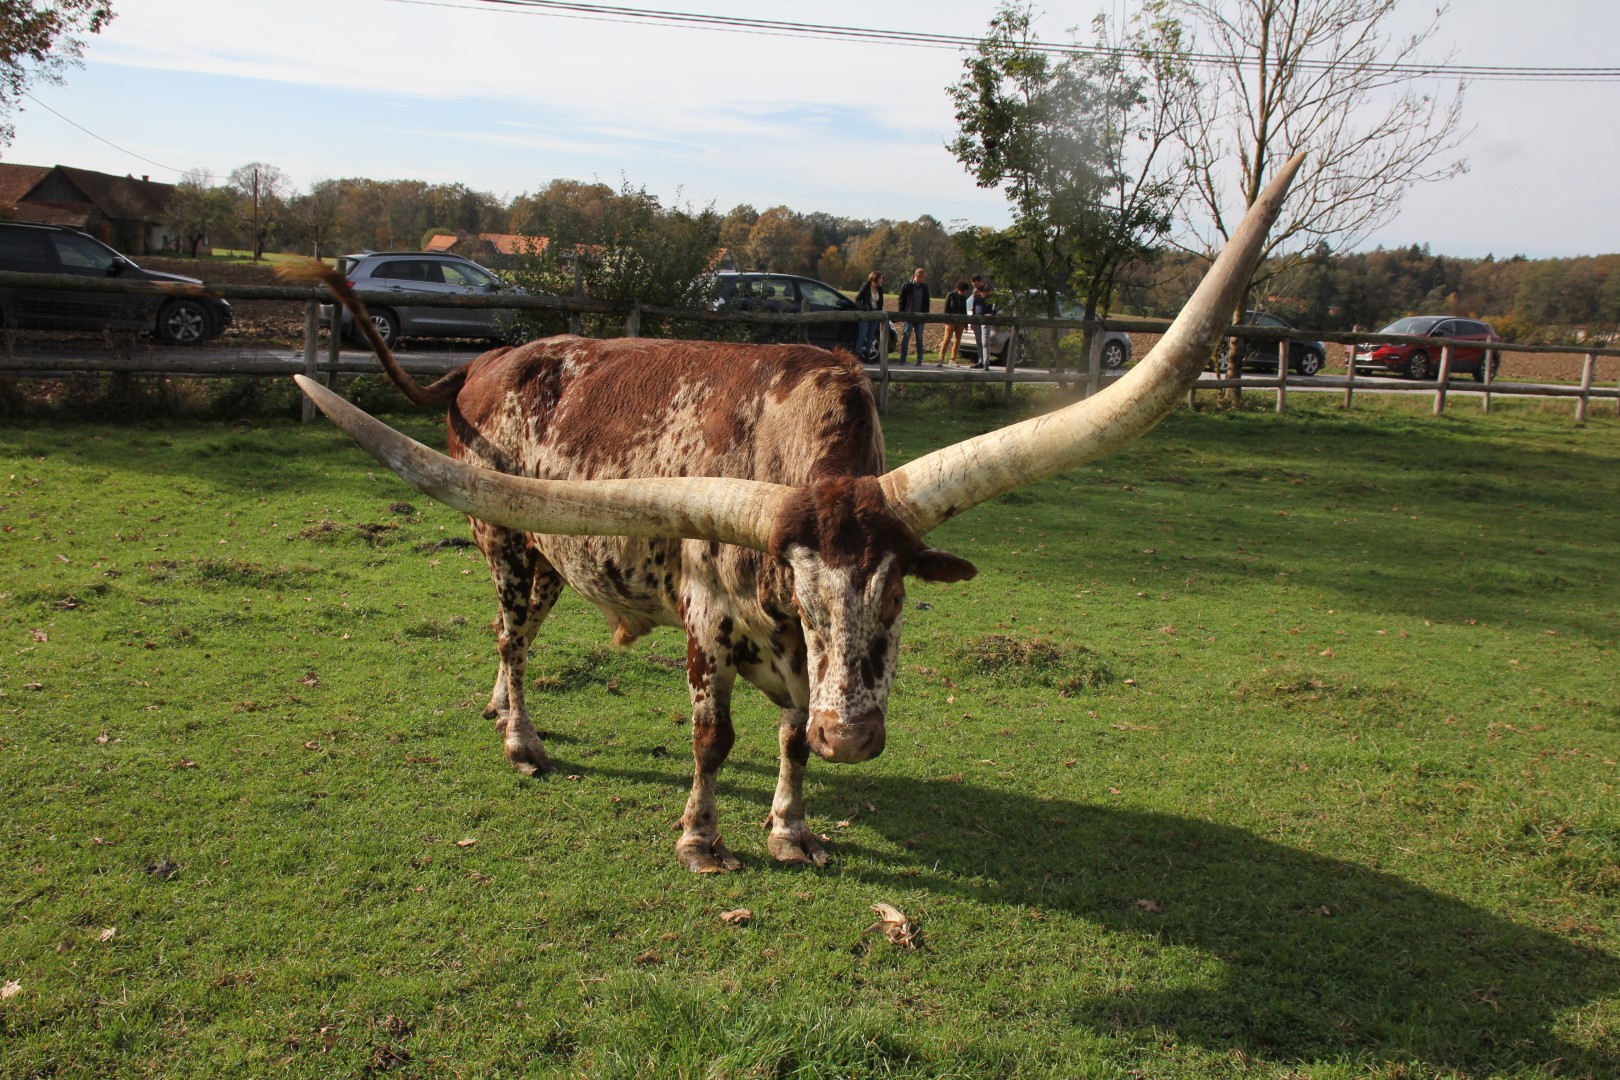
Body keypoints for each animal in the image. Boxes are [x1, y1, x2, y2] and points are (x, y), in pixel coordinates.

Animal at [288, 158, 1302, 867]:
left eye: (898, 597)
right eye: (804, 594)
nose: (853, 736)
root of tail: (484, 363)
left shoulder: (803, 664)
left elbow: (786, 738)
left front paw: (792, 829)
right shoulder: (707, 621)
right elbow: (715, 738)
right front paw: (703, 840)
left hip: (550, 553)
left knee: (521, 639)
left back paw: (502, 708)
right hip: (500, 539)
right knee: (507, 635)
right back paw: (522, 740)